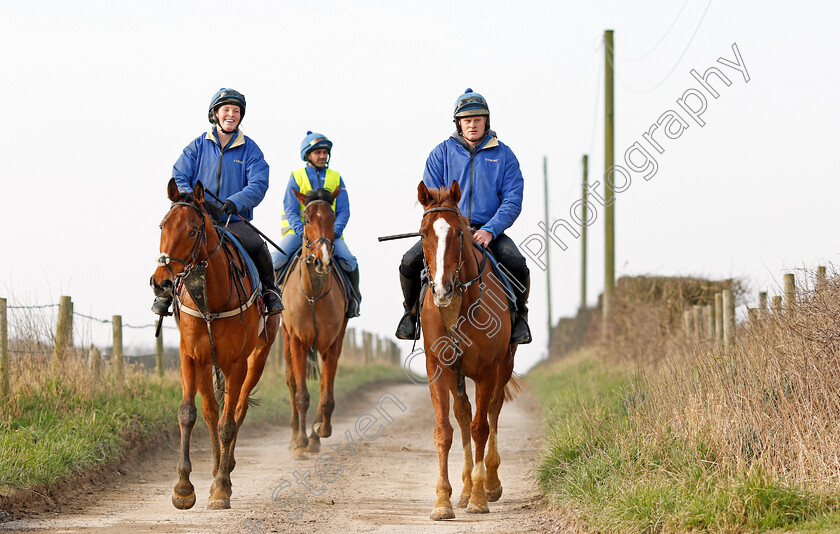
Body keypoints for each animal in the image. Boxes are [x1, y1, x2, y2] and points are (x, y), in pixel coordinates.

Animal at [149, 179, 280, 510]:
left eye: (193, 231)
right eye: (162, 226)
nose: (161, 282)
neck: (212, 297)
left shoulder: (236, 363)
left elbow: (228, 423)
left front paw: (222, 488)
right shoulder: (191, 356)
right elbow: (189, 413)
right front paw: (183, 488)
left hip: (257, 359)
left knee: (238, 409)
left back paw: (226, 469)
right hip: (208, 362)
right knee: (210, 411)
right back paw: (214, 466)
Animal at [278, 187, 348, 460]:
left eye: (332, 218)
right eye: (306, 219)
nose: (323, 261)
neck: (313, 295)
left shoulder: (332, 343)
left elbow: (325, 393)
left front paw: (319, 432)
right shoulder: (297, 340)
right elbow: (301, 394)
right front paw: (299, 442)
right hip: (286, 340)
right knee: (291, 381)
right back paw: (294, 436)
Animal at [416, 182, 520, 520]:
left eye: (460, 232)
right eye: (423, 233)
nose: (442, 288)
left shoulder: (487, 370)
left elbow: (480, 427)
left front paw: (478, 497)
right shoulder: (438, 368)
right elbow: (445, 431)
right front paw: (443, 500)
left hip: (504, 366)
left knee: (492, 412)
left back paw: (489, 483)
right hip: (457, 376)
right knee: (462, 416)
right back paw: (462, 489)